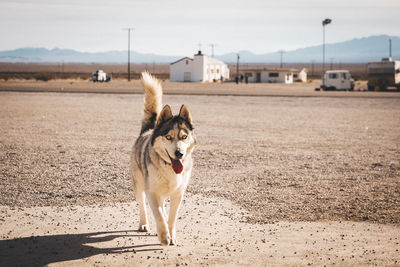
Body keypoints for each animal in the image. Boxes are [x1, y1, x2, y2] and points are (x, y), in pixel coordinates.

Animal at [130, 71, 196, 247]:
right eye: (168, 137)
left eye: (184, 137)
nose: (179, 153)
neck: (169, 168)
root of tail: (148, 130)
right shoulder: (152, 192)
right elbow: (158, 214)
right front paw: (164, 236)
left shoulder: (178, 194)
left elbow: (172, 217)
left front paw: (171, 235)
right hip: (139, 185)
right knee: (142, 206)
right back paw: (144, 224)